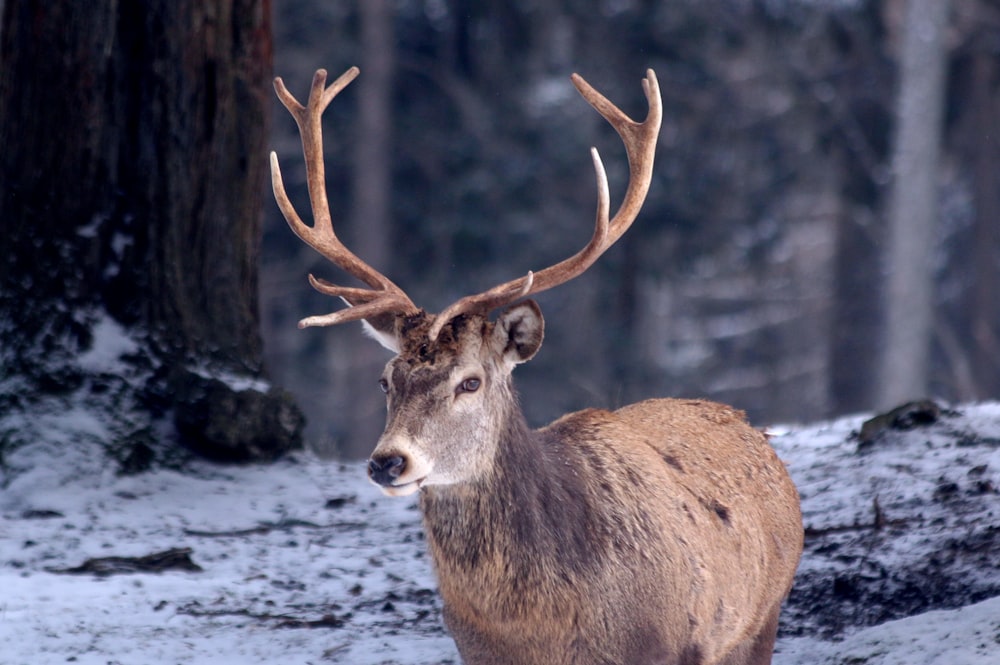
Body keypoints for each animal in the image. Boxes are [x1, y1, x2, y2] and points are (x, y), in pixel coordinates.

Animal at [270, 63, 800, 664]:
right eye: (385, 380)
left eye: (470, 382)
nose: (388, 462)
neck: (540, 628)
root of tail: (754, 432)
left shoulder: (667, 645)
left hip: (759, 620)